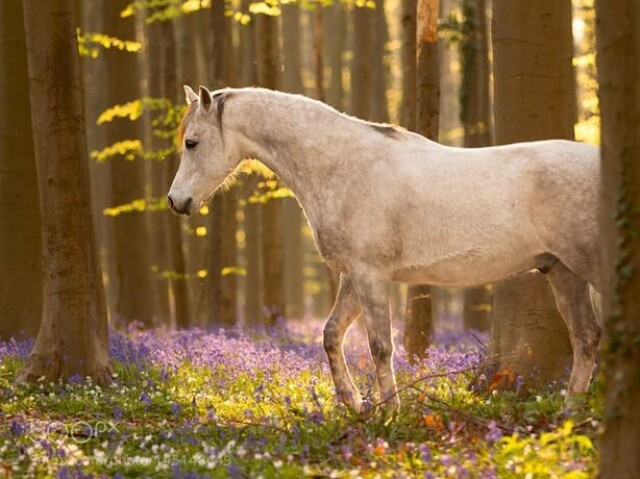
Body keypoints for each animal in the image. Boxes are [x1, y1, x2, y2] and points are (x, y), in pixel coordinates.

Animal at [166, 85, 600, 412]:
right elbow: (331, 335)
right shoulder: (353, 275)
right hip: (564, 272)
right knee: (586, 339)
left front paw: (389, 413)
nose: (176, 201)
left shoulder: (371, 274)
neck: (341, 166)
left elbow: (380, 346)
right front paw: (356, 404)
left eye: (192, 142)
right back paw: (569, 414)